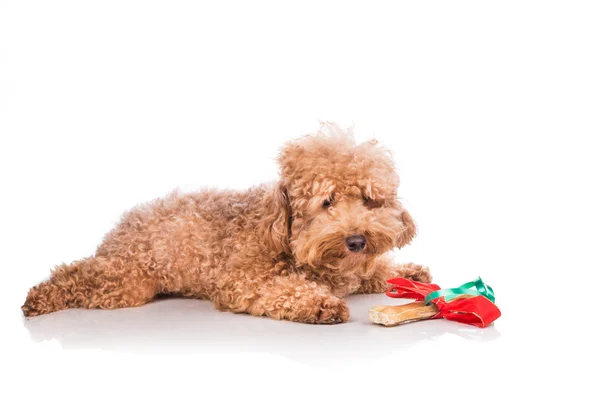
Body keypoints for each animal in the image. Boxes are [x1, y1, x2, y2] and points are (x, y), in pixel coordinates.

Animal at [19, 123, 432, 324]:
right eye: (326, 202)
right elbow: (282, 290)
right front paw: (319, 303)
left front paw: (408, 273)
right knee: (77, 273)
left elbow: (373, 273)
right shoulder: (243, 281)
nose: (357, 240)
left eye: (369, 200)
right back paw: (39, 297)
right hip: (126, 279)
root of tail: (123, 224)